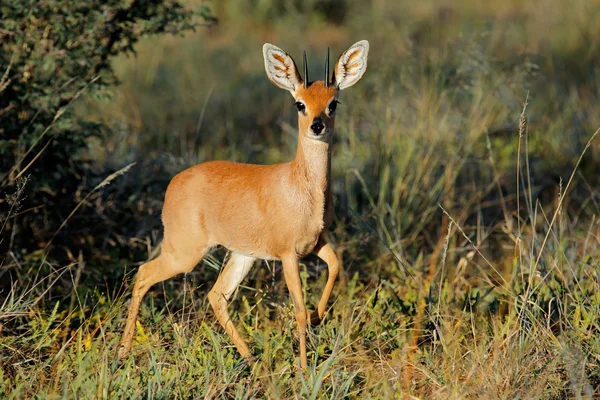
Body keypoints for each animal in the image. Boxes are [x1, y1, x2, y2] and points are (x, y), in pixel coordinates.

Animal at [118, 40, 368, 368]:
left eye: (333, 103)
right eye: (299, 104)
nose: (317, 127)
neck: (305, 189)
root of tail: (174, 183)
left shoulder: (316, 243)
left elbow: (336, 266)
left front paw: (318, 315)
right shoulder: (288, 255)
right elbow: (298, 311)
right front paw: (304, 367)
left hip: (241, 255)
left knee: (216, 296)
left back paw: (252, 359)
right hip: (185, 253)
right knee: (143, 273)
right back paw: (122, 353)